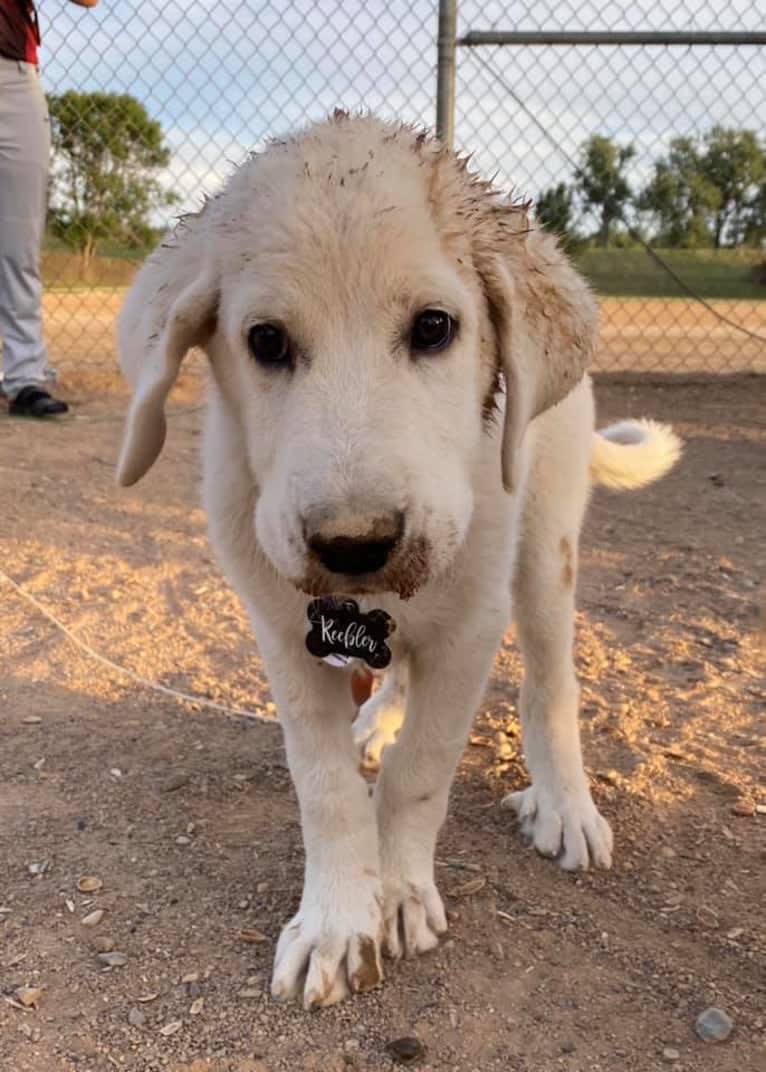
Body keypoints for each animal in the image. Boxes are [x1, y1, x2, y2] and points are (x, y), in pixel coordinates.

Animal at [116, 113, 681, 1007]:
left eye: (434, 328)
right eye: (266, 341)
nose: (356, 543)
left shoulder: (471, 627)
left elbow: (423, 768)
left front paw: (399, 894)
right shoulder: (287, 635)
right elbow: (325, 787)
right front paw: (339, 921)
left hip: (545, 546)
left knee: (551, 684)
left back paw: (565, 804)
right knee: (399, 672)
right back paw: (378, 718)